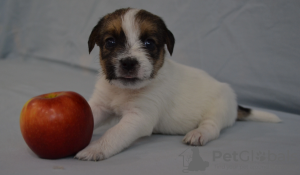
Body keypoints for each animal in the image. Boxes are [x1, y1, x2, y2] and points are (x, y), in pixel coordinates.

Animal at [74, 8, 278, 161]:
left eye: (149, 43)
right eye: (110, 42)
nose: (129, 63)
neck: (123, 91)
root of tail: (235, 104)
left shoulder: (139, 116)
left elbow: (114, 133)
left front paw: (95, 148)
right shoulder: (100, 105)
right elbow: (91, 114)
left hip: (218, 109)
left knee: (211, 127)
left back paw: (198, 134)